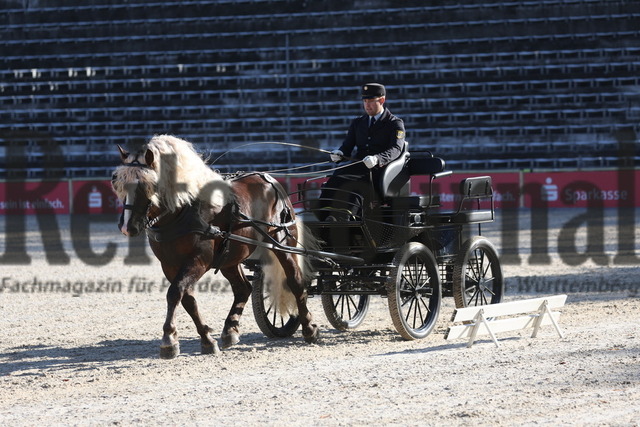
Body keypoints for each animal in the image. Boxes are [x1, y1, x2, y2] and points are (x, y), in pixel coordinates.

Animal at [112, 135, 320, 360]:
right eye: (117, 182)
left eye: (146, 185)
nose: (127, 227)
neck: (183, 211)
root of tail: (270, 180)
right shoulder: (169, 265)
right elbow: (187, 299)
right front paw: (206, 339)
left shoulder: (199, 259)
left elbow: (175, 292)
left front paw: (168, 339)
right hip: (231, 256)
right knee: (243, 288)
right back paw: (230, 330)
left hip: (282, 243)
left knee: (295, 281)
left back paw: (309, 328)